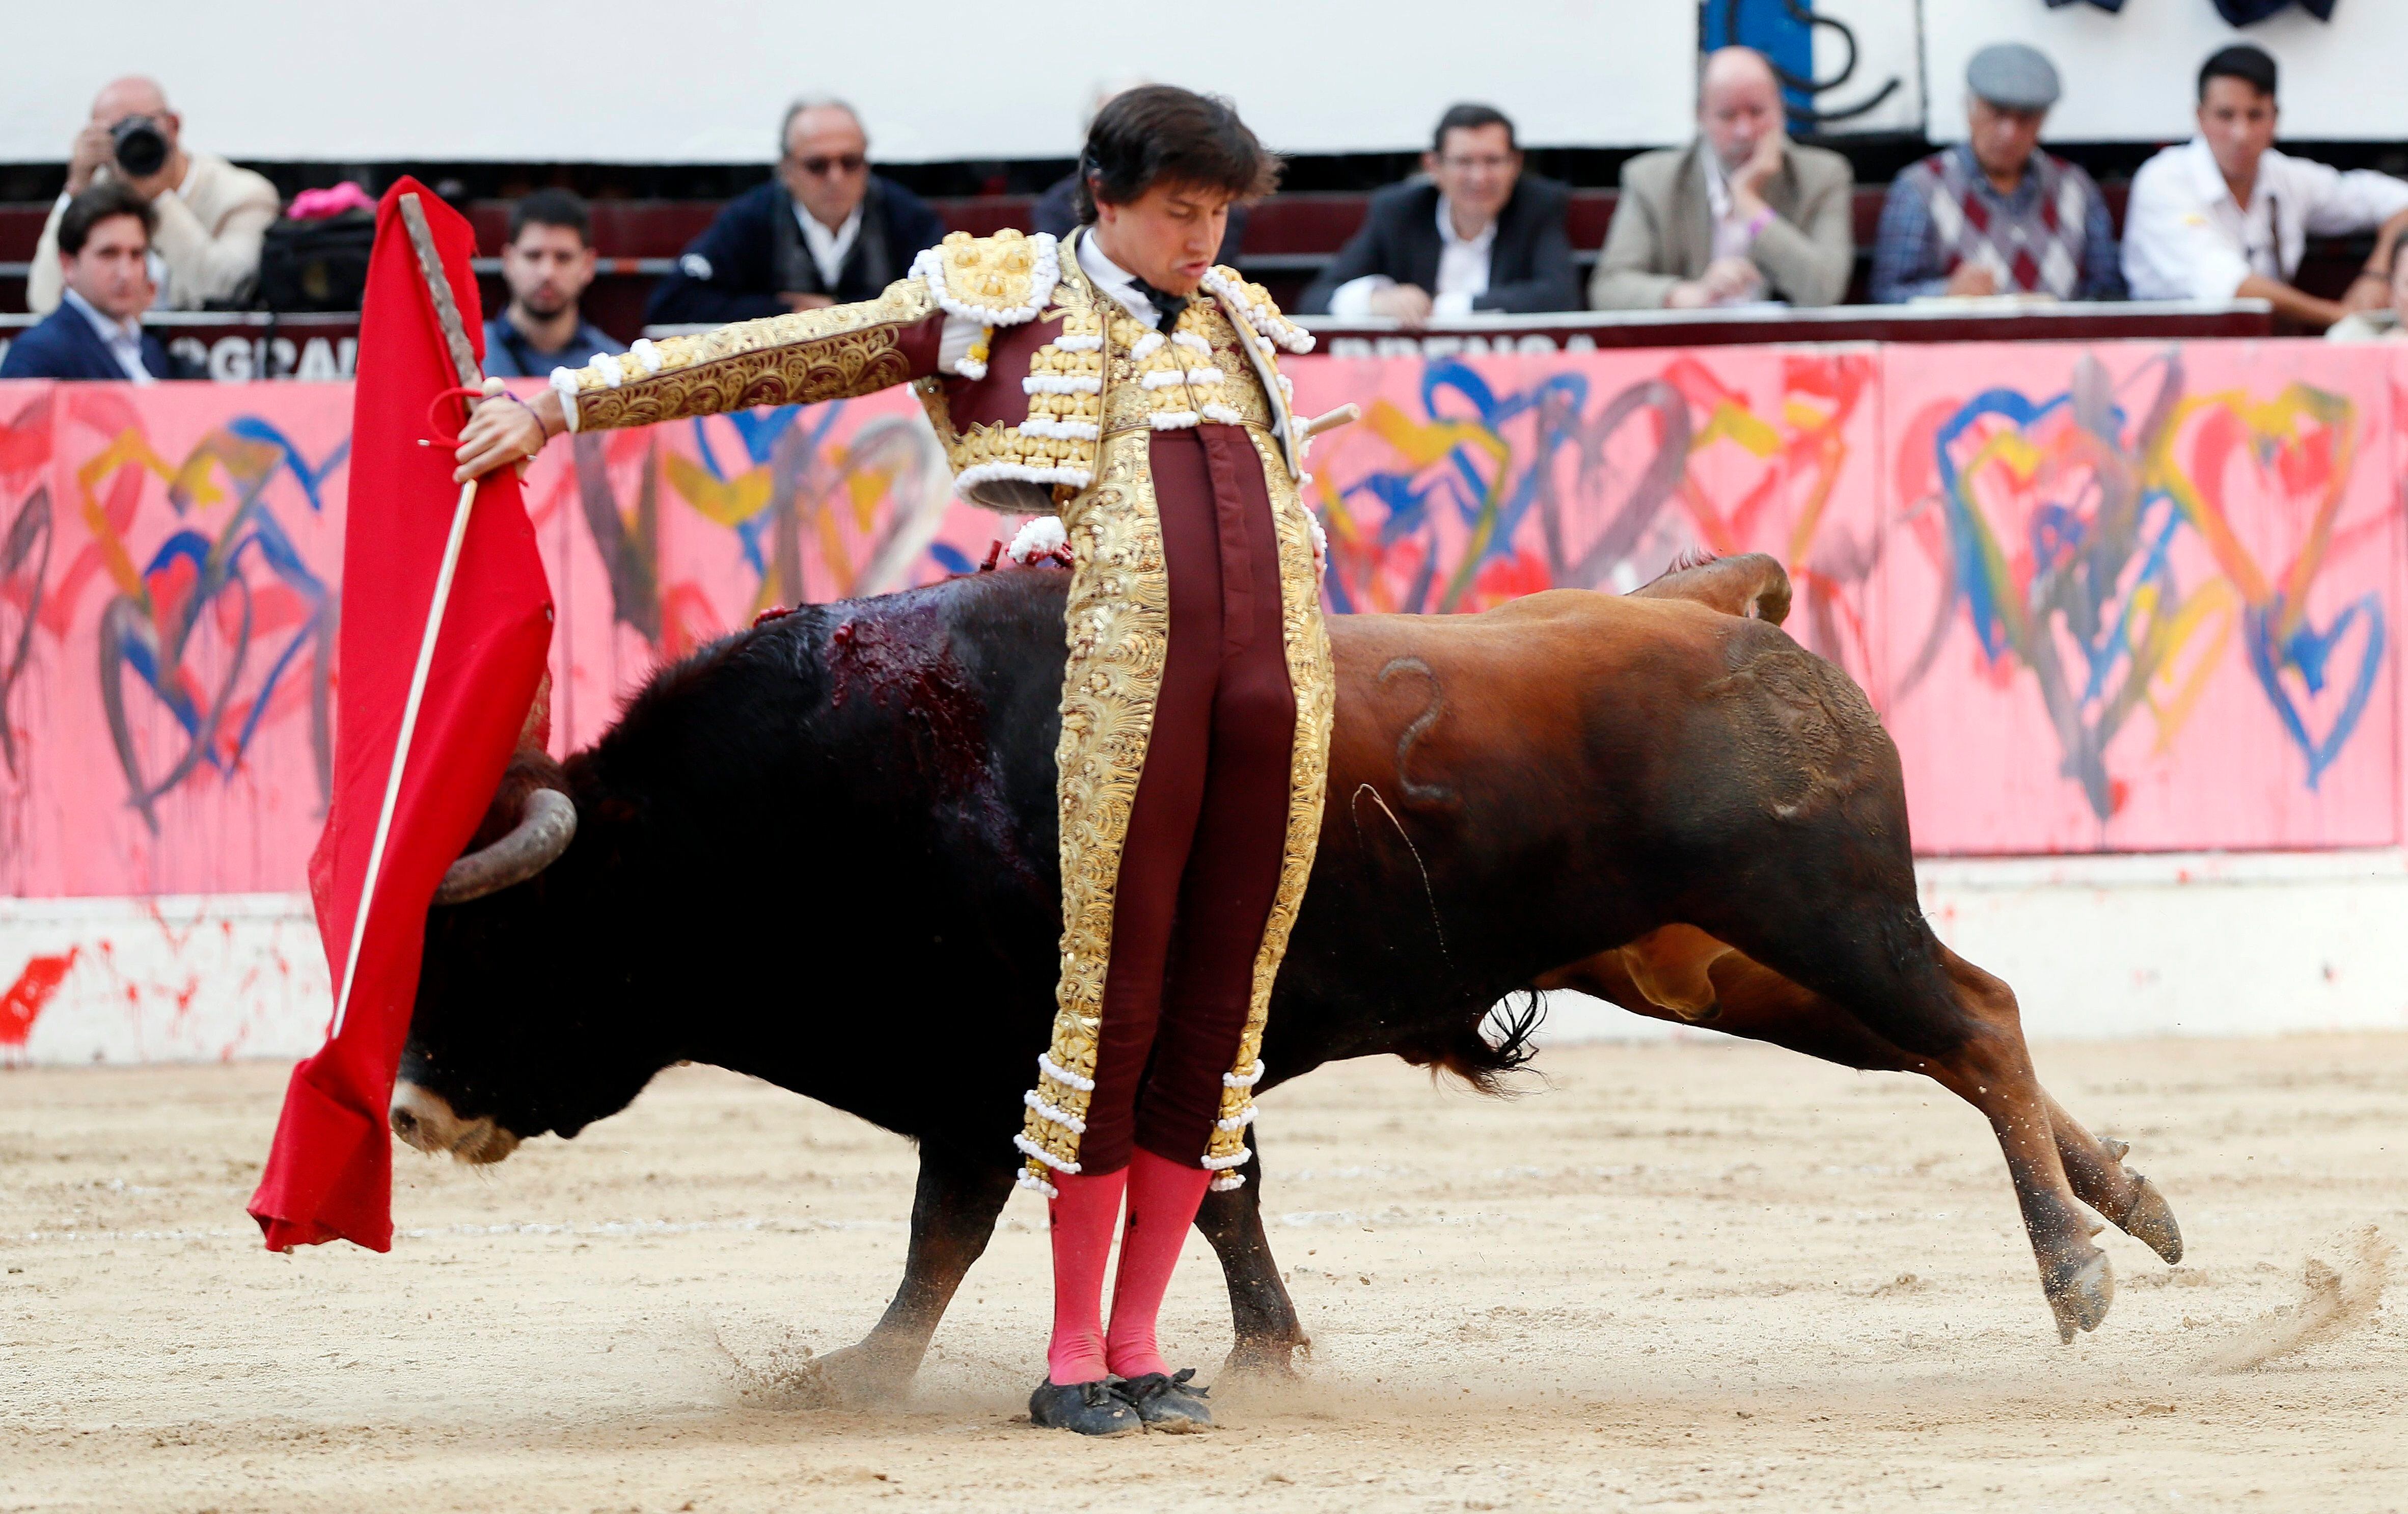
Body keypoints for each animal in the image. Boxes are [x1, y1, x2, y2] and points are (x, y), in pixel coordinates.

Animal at [395, 556, 2186, 1396]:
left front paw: (860, 1377)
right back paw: (2134, 1205)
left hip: (1820, 915)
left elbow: (953, 1233)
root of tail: (1723, 610)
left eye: (494, 936)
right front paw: (1268, 1351)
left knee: (1973, 1018)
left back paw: (2076, 1268)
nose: (406, 1107)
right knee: (1960, 1040)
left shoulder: (1004, 1069)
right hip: (1718, 964)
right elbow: (1206, 1196)